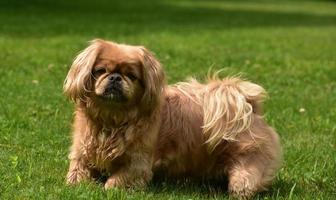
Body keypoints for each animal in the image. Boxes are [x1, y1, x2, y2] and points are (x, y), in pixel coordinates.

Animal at [63, 39, 280, 198]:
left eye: (131, 76)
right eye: (100, 71)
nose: (115, 77)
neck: (114, 118)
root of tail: (248, 104)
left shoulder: (137, 163)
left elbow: (117, 181)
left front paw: (111, 189)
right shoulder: (82, 150)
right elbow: (78, 171)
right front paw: (76, 185)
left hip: (247, 163)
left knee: (245, 180)